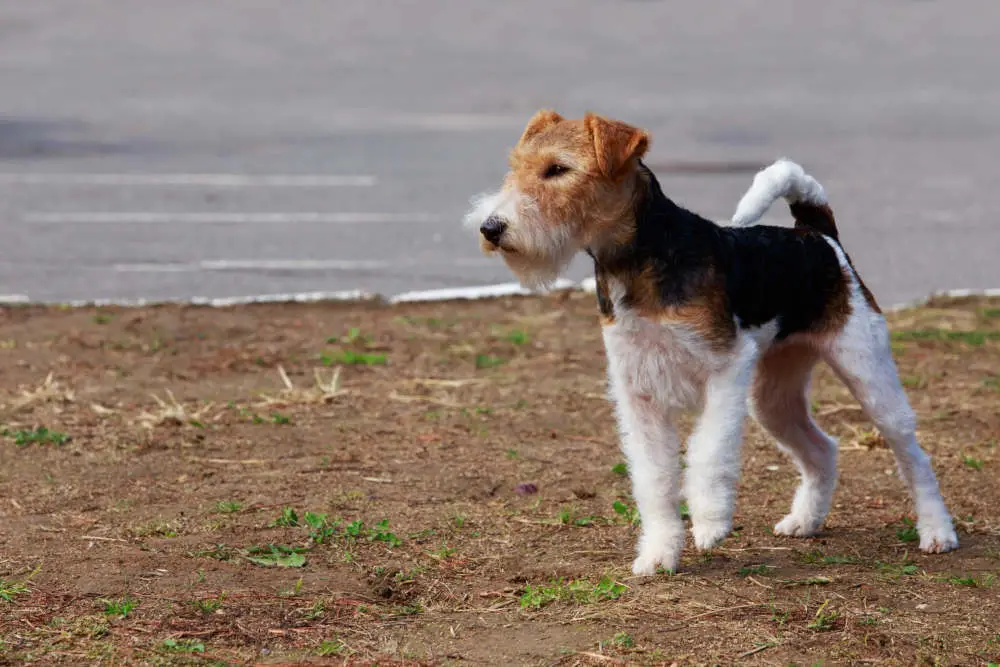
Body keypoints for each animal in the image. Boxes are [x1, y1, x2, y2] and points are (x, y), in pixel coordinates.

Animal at [464, 109, 956, 576]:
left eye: (558, 169)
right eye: (516, 166)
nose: (491, 228)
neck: (640, 258)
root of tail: (819, 235)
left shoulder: (725, 367)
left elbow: (708, 452)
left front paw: (710, 524)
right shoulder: (637, 392)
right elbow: (654, 477)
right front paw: (659, 554)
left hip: (867, 370)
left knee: (913, 455)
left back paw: (937, 532)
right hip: (773, 398)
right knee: (822, 449)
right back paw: (804, 521)